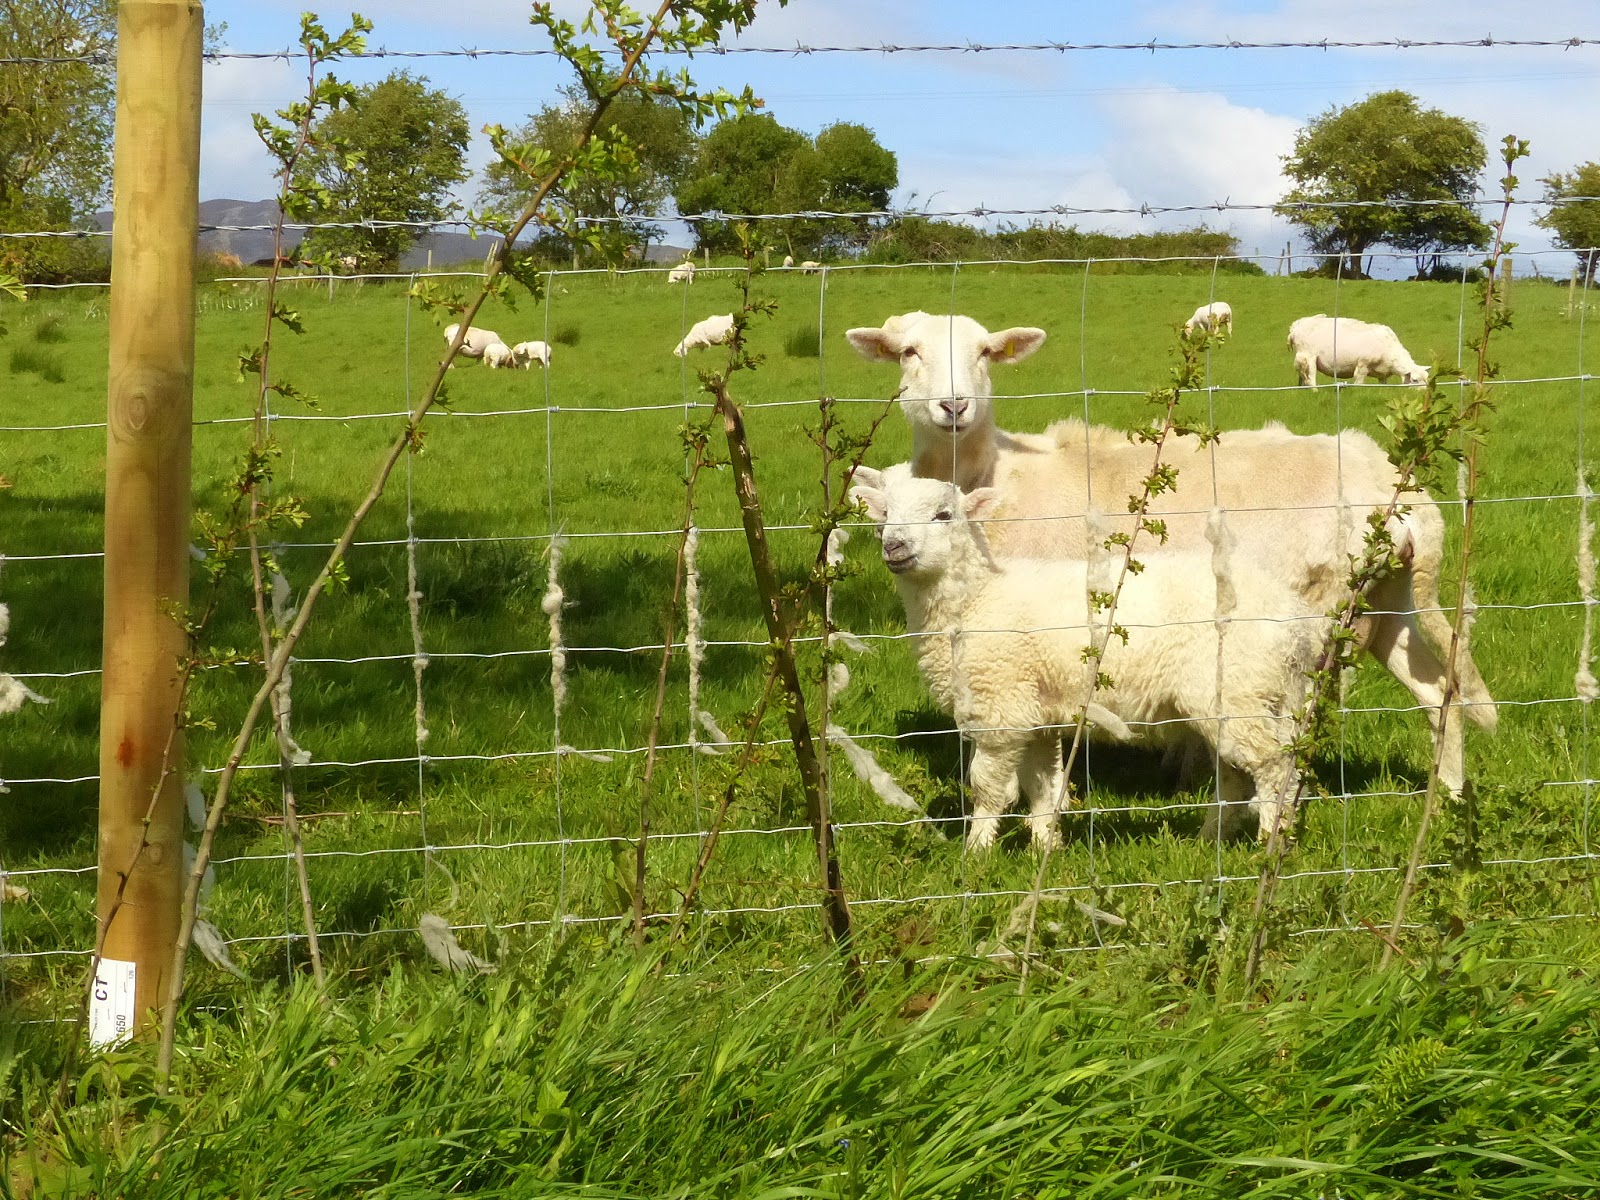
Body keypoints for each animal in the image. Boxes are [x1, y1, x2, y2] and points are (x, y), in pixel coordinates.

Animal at [851, 465, 1323, 848]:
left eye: (944, 515)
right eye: (884, 516)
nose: (894, 546)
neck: (975, 599)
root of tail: (1296, 620)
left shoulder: (1001, 707)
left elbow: (986, 788)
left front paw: (976, 854)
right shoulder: (1035, 715)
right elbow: (1043, 788)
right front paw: (1046, 848)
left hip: (1238, 693)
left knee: (1273, 769)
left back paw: (1268, 845)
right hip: (1254, 696)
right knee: (1239, 775)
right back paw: (1211, 841)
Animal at [1287, 314, 1427, 388]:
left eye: (1427, 379)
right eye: (1415, 380)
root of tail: (1297, 325)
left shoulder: (1382, 374)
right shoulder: (1363, 365)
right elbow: (1359, 382)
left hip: (1302, 359)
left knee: (1303, 378)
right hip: (1308, 356)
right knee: (1311, 379)